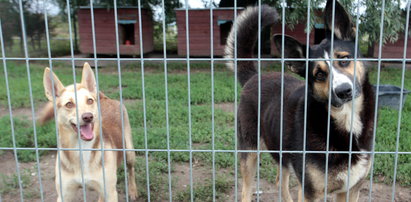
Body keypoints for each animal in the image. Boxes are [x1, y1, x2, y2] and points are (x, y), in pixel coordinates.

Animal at [39, 62, 138, 201]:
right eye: (69, 104)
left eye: (89, 100)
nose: (88, 116)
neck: (81, 149)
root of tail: (104, 98)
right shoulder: (64, 195)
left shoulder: (110, 193)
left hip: (129, 152)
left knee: (131, 170)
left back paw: (133, 190)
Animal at [225, 0, 376, 201]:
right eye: (319, 74)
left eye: (344, 59)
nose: (344, 91)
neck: (344, 120)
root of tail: (254, 77)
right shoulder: (310, 192)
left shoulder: (351, 190)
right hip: (249, 152)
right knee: (246, 190)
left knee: (280, 182)